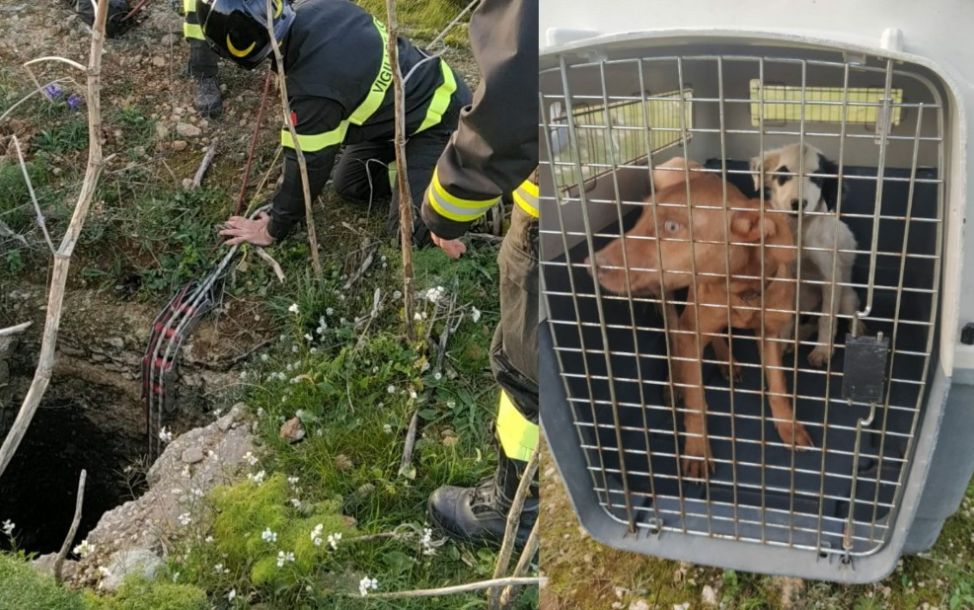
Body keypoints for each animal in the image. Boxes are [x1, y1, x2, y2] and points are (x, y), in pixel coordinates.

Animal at [592, 164, 812, 478]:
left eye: (672, 227)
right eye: (642, 218)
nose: (591, 263)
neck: (741, 290)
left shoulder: (769, 333)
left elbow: (778, 388)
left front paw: (788, 426)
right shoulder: (691, 329)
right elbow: (696, 400)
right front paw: (697, 450)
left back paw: (726, 361)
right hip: (667, 292)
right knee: (674, 332)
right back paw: (676, 381)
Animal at [756, 142, 860, 366]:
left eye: (817, 178)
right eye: (783, 174)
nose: (798, 204)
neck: (799, 231)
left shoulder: (830, 278)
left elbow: (827, 319)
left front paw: (822, 350)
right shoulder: (786, 276)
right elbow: (788, 316)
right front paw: (783, 342)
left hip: (846, 298)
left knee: (847, 316)